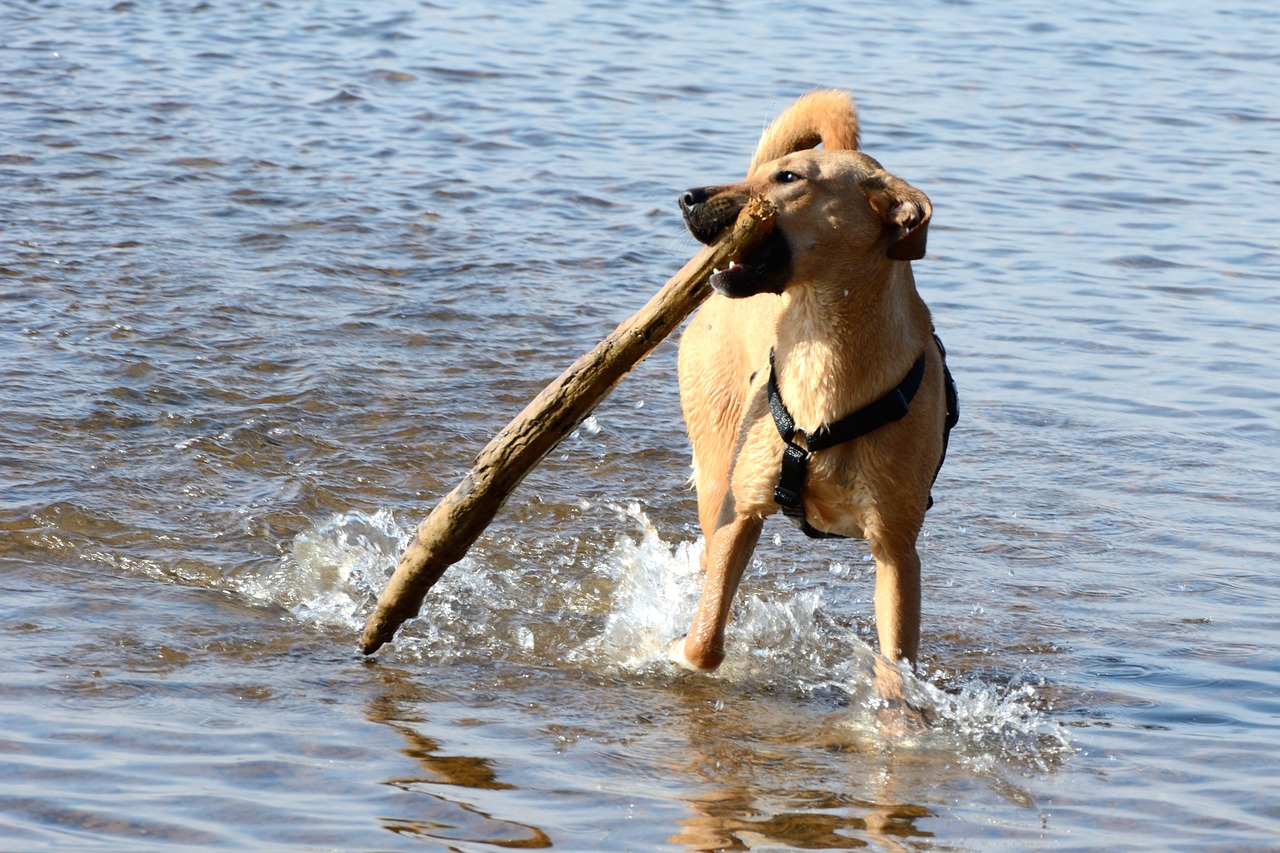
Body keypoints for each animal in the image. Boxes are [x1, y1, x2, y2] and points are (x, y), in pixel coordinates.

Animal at [665, 91, 957, 717]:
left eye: (789, 178)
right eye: (772, 173)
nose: (687, 197)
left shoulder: (897, 553)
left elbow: (895, 672)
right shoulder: (740, 511)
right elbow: (705, 640)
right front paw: (683, 651)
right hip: (715, 471)